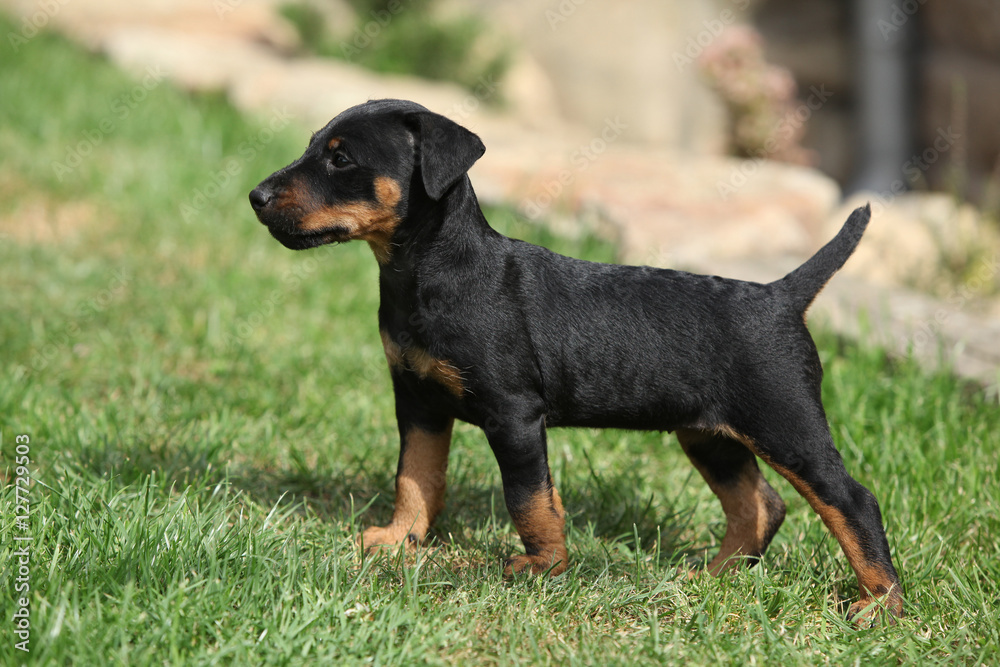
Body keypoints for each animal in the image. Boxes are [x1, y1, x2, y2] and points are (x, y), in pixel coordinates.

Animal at [248, 98, 900, 620]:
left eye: (340, 160)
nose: (255, 197)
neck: (426, 271)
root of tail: (781, 294)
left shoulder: (513, 415)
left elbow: (530, 499)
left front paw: (543, 568)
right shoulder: (417, 401)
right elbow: (415, 476)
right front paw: (399, 540)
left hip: (785, 421)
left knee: (851, 500)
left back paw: (879, 606)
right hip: (709, 434)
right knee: (759, 504)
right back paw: (713, 578)